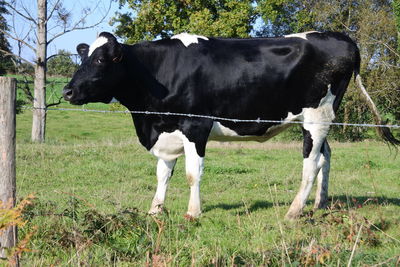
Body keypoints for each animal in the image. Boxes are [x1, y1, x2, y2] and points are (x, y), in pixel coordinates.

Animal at [63, 30, 400, 220]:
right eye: (84, 58)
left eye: (101, 61)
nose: (67, 91)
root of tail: (343, 38)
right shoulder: (166, 131)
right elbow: (162, 174)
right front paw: (155, 210)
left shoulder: (195, 127)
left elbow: (192, 173)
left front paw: (193, 212)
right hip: (321, 118)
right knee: (326, 157)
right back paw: (319, 204)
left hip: (316, 115)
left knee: (312, 162)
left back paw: (294, 211)